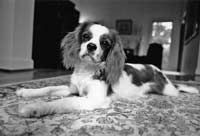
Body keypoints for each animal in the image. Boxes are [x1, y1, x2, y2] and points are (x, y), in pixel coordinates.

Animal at [16, 21, 199, 117]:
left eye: (105, 43)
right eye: (86, 36)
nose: (91, 46)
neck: (87, 71)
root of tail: (157, 69)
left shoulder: (94, 99)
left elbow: (62, 102)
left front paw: (33, 108)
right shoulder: (72, 89)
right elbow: (49, 88)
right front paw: (26, 92)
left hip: (168, 91)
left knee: (178, 89)